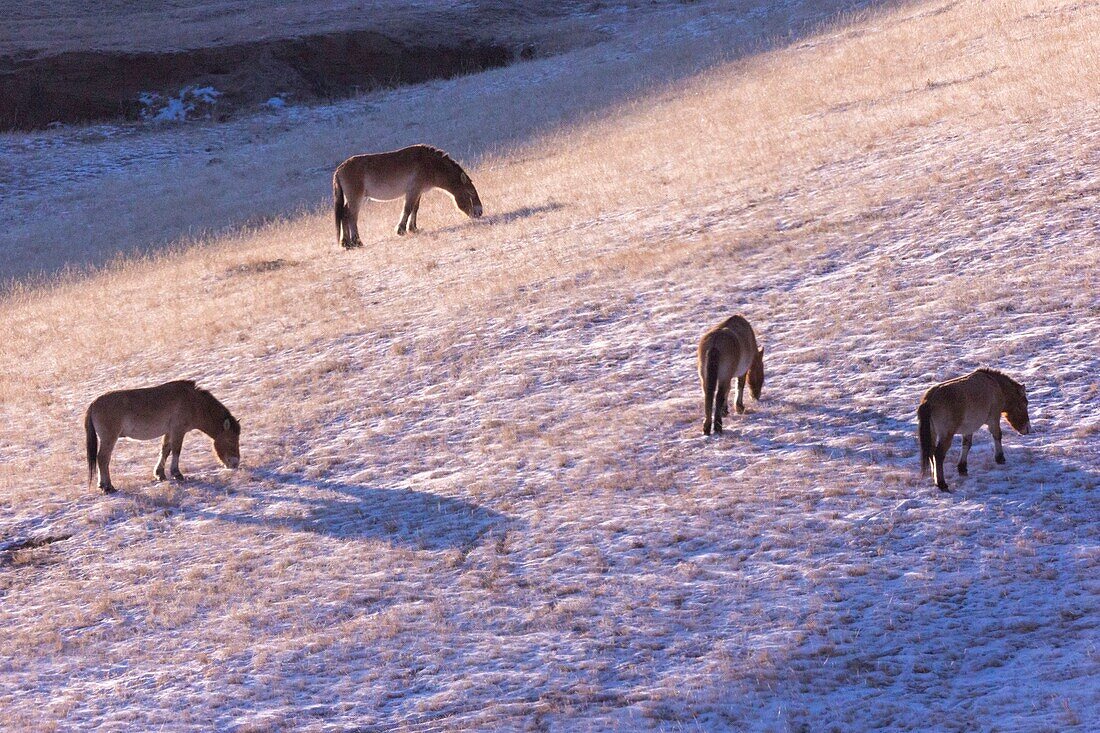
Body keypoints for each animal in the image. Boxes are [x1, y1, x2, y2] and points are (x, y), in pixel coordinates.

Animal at [84, 378, 240, 493]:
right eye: (230, 440)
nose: (235, 464)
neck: (194, 402)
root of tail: (93, 404)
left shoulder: (169, 432)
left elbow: (165, 450)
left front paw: (160, 474)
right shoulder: (178, 430)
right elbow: (176, 451)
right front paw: (177, 474)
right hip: (109, 438)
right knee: (103, 458)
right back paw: (107, 487)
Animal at [332, 143, 484, 245]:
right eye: (470, 192)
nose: (479, 212)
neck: (430, 164)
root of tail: (339, 169)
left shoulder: (418, 192)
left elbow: (415, 209)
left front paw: (413, 228)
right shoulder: (413, 190)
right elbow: (408, 209)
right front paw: (401, 230)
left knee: (344, 214)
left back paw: (347, 243)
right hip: (355, 198)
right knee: (351, 216)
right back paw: (356, 241)